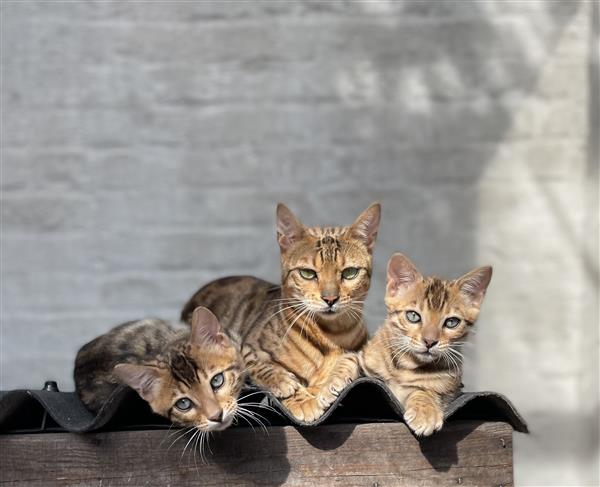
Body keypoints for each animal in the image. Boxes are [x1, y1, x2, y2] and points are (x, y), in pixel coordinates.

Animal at [180, 202, 382, 424]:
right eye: (307, 273)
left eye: (350, 273)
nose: (330, 299)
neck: (329, 333)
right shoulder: (247, 350)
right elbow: (267, 368)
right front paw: (300, 397)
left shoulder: (362, 350)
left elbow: (351, 360)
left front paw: (329, 382)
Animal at [360, 254, 492, 436]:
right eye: (413, 316)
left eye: (452, 322)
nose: (429, 341)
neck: (407, 366)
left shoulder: (449, 390)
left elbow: (424, 390)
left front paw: (425, 412)